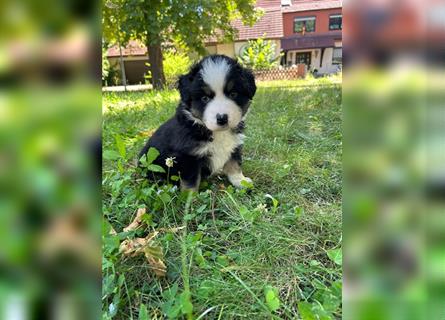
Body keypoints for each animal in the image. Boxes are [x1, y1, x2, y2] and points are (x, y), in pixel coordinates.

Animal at [139, 54, 256, 192]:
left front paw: (240, 181)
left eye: (233, 94)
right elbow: (191, 180)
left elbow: (234, 165)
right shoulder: (188, 156)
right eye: (205, 98)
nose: (222, 118)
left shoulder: (234, 144)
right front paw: (189, 195)